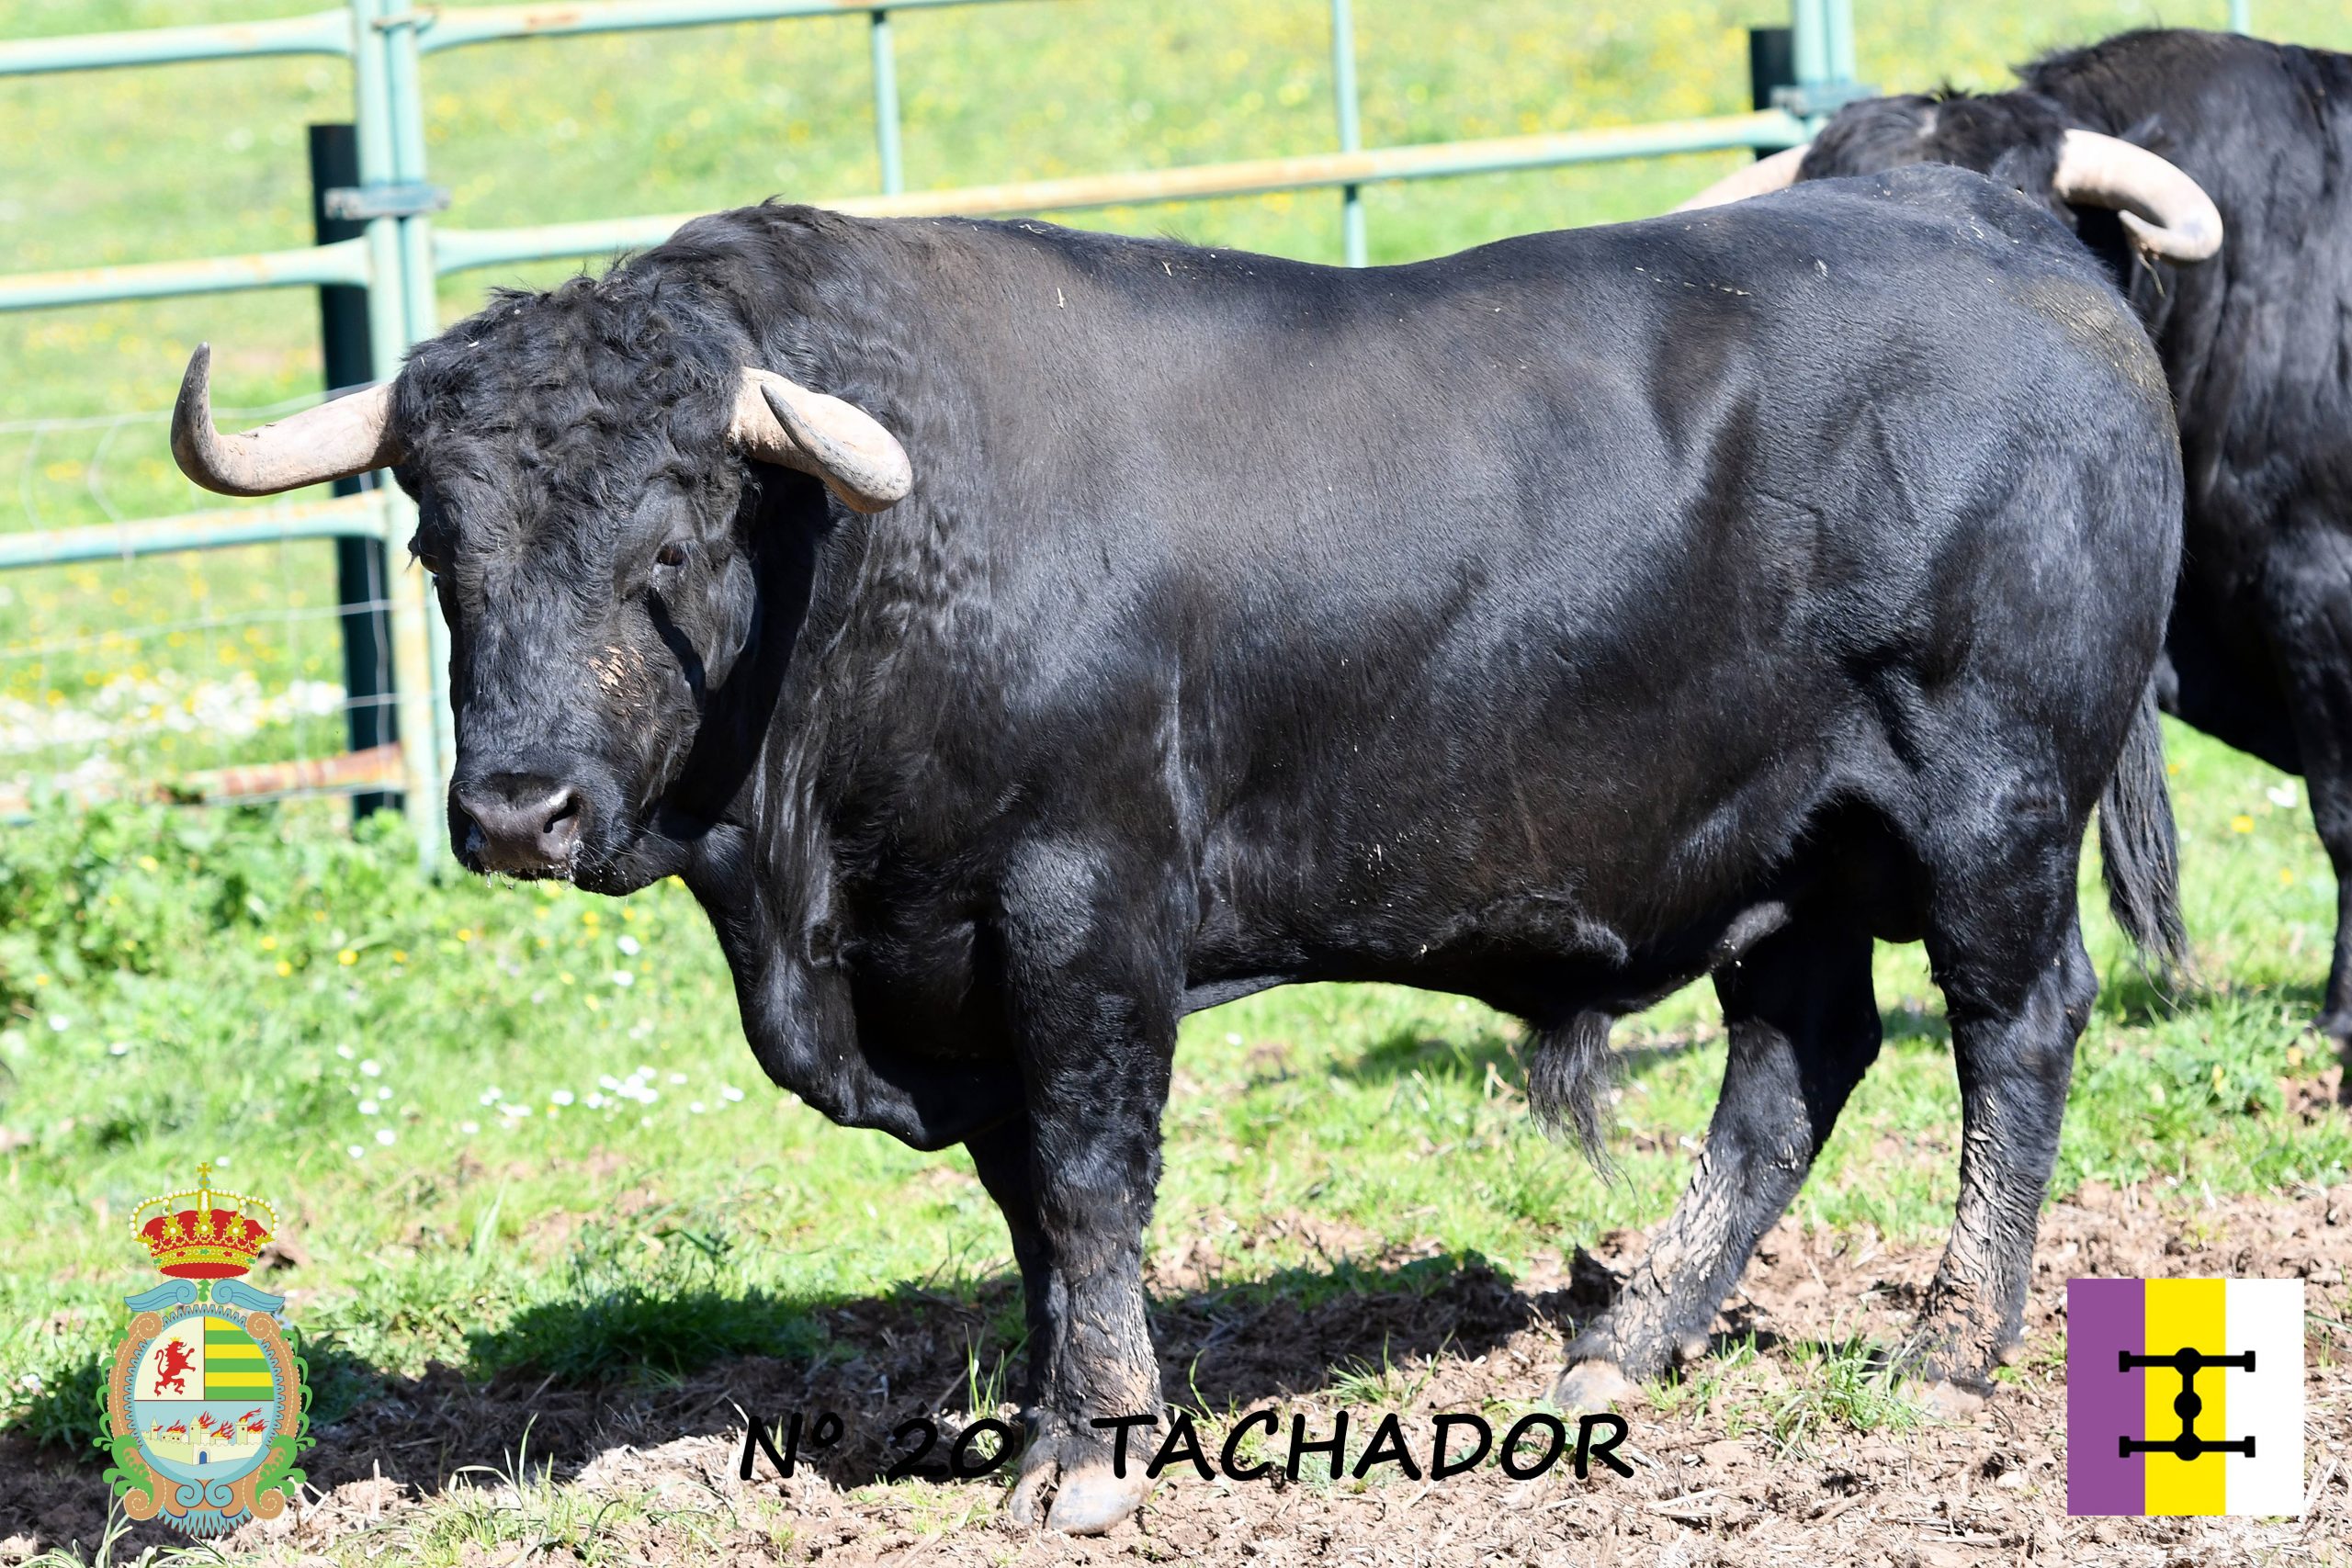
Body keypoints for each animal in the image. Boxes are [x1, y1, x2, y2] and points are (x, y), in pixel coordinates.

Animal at [170, 166, 2185, 1531]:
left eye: (671, 540)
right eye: (437, 546)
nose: (515, 809)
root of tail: (1999, 222)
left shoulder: (1081, 910)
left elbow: (1087, 1177)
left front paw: (1090, 1453)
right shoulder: (950, 968)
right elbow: (1029, 1212)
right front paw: (1053, 1408)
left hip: (1987, 797)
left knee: (2011, 1028)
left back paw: (1947, 1339)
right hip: (1785, 840)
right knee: (1792, 1059)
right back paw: (1629, 1332)